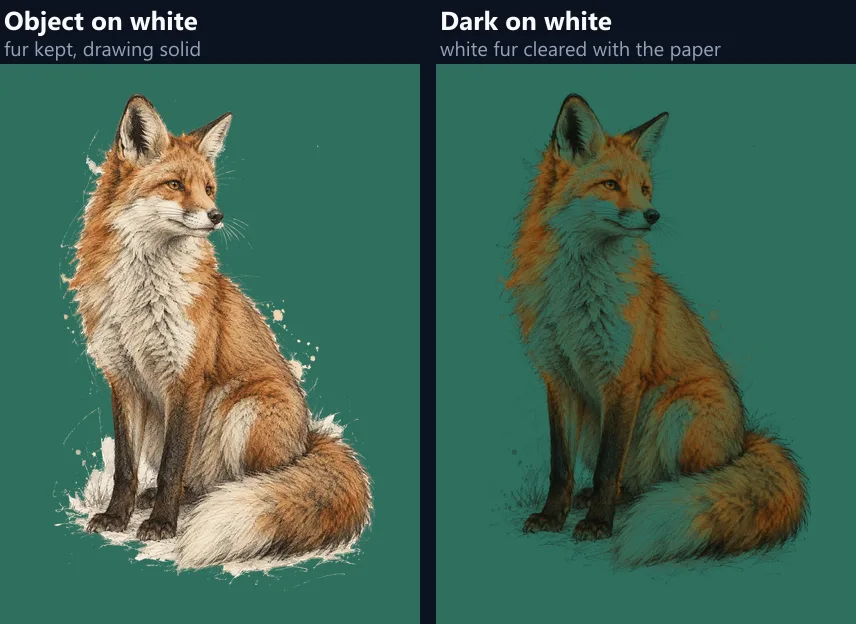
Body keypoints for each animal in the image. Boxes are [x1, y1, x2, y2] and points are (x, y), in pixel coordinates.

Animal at [70, 95, 371, 569]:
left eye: (209, 188)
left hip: (245, 412)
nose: (216, 216)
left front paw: (162, 525)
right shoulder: (123, 378)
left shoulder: (187, 377)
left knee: (254, 483)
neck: (142, 294)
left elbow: (172, 465)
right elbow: (125, 467)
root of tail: (308, 440)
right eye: (175, 184)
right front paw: (118, 516)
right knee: (199, 482)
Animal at [507, 94, 807, 566]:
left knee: (687, 484)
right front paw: (553, 516)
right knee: (631, 483)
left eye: (646, 189)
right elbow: (560, 467)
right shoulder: (558, 378)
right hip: (598, 421)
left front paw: (598, 524)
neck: (578, 294)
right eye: (611, 185)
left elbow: (609, 465)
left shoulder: (622, 377)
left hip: (679, 413)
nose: (653, 214)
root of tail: (744, 439)